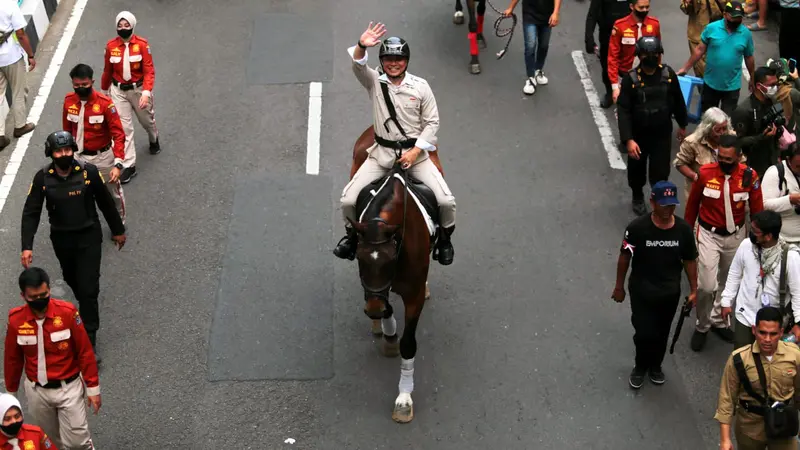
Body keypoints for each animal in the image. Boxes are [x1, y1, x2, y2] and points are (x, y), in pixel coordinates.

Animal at [346, 125, 440, 422]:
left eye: (390, 260)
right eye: (360, 257)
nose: (372, 310)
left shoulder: (413, 294)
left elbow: (409, 343)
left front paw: (404, 398)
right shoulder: (375, 284)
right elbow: (384, 302)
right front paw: (388, 334)